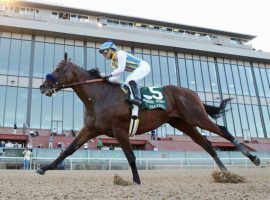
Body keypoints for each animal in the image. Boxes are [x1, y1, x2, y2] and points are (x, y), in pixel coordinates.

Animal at [36, 53, 260, 184]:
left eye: (60, 69)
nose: (42, 86)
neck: (99, 96)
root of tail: (191, 92)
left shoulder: (119, 130)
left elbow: (131, 156)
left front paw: (135, 179)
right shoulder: (91, 129)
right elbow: (68, 150)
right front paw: (45, 168)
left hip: (196, 116)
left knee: (223, 130)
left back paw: (253, 158)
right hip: (182, 123)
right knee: (206, 144)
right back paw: (225, 172)